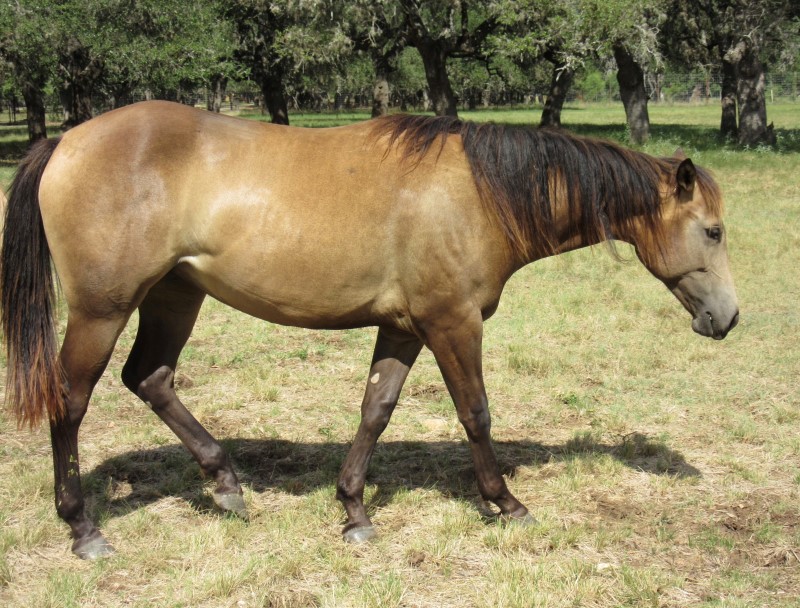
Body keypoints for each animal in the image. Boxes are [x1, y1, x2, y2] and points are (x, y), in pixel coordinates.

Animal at [0, 101, 736, 560]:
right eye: (713, 231)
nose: (727, 318)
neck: (477, 193)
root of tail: (65, 140)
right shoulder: (451, 322)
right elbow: (476, 413)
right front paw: (506, 503)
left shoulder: (405, 327)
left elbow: (375, 410)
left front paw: (354, 511)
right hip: (102, 309)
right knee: (71, 402)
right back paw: (84, 528)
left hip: (175, 296)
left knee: (149, 378)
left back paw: (227, 484)